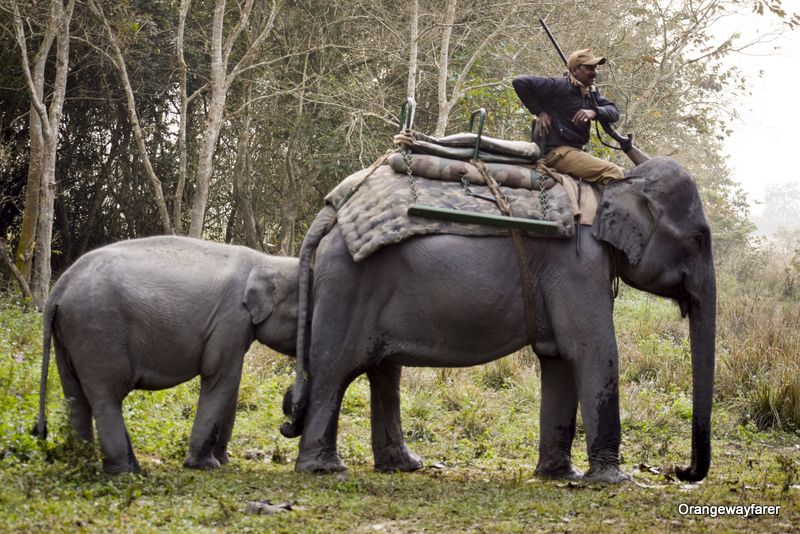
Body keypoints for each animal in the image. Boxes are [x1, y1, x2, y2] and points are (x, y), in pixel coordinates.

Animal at [31, 237, 300, 476]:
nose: (287, 416)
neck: (264, 260)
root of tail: (58, 289)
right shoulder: (230, 320)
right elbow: (221, 378)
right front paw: (205, 465)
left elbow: (231, 386)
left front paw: (223, 461)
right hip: (98, 330)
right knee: (107, 397)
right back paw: (123, 471)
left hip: (68, 336)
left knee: (75, 397)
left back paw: (83, 463)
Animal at [282, 158, 720, 486]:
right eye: (699, 239)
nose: (679, 471)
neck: (611, 185)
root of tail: (332, 208)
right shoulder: (577, 264)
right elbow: (592, 350)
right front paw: (615, 480)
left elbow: (558, 358)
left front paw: (558, 476)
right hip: (348, 283)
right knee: (335, 368)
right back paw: (324, 468)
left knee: (384, 371)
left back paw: (403, 465)